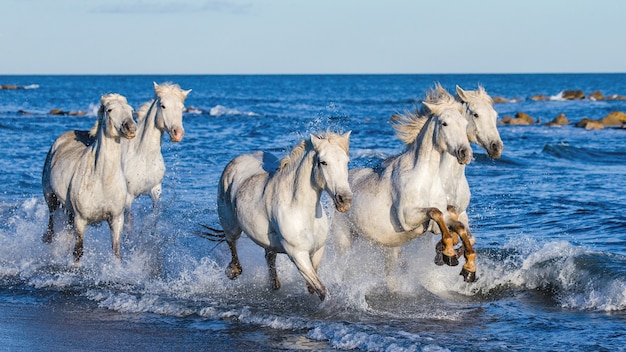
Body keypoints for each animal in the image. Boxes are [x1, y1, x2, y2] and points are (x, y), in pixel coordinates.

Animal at [42, 93, 138, 262]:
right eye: (109, 110)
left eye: (131, 110)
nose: (131, 128)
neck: (102, 181)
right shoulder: (81, 220)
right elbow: (78, 252)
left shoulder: (116, 219)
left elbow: (116, 253)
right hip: (51, 198)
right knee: (52, 222)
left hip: (69, 212)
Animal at [122, 81, 190, 232]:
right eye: (163, 106)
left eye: (182, 108)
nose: (178, 134)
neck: (144, 157)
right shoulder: (128, 198)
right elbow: (128, 225)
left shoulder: (156, 191)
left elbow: (155, 218)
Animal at [207, 131, 352, 300]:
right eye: (323, 162)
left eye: (346, 162)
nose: (345, 199)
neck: (300, 209)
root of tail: (236, 161)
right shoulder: (297, 255)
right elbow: (321, 289)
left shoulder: (317, 251)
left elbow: (313, 286)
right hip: (231, 225)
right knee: (231, 242)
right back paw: (233, 271)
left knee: (269, 258)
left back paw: (274, 284)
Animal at [330, 86, 470, 288]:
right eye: (444, 123)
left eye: (465, 123)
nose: (464, 153)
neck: (424, 179)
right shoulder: (408, 218)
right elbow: (435, 213)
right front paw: (449, 253)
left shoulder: (440, 216)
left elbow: (455, 223)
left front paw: (464, 265)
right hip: (344, 241)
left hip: (389, 249)